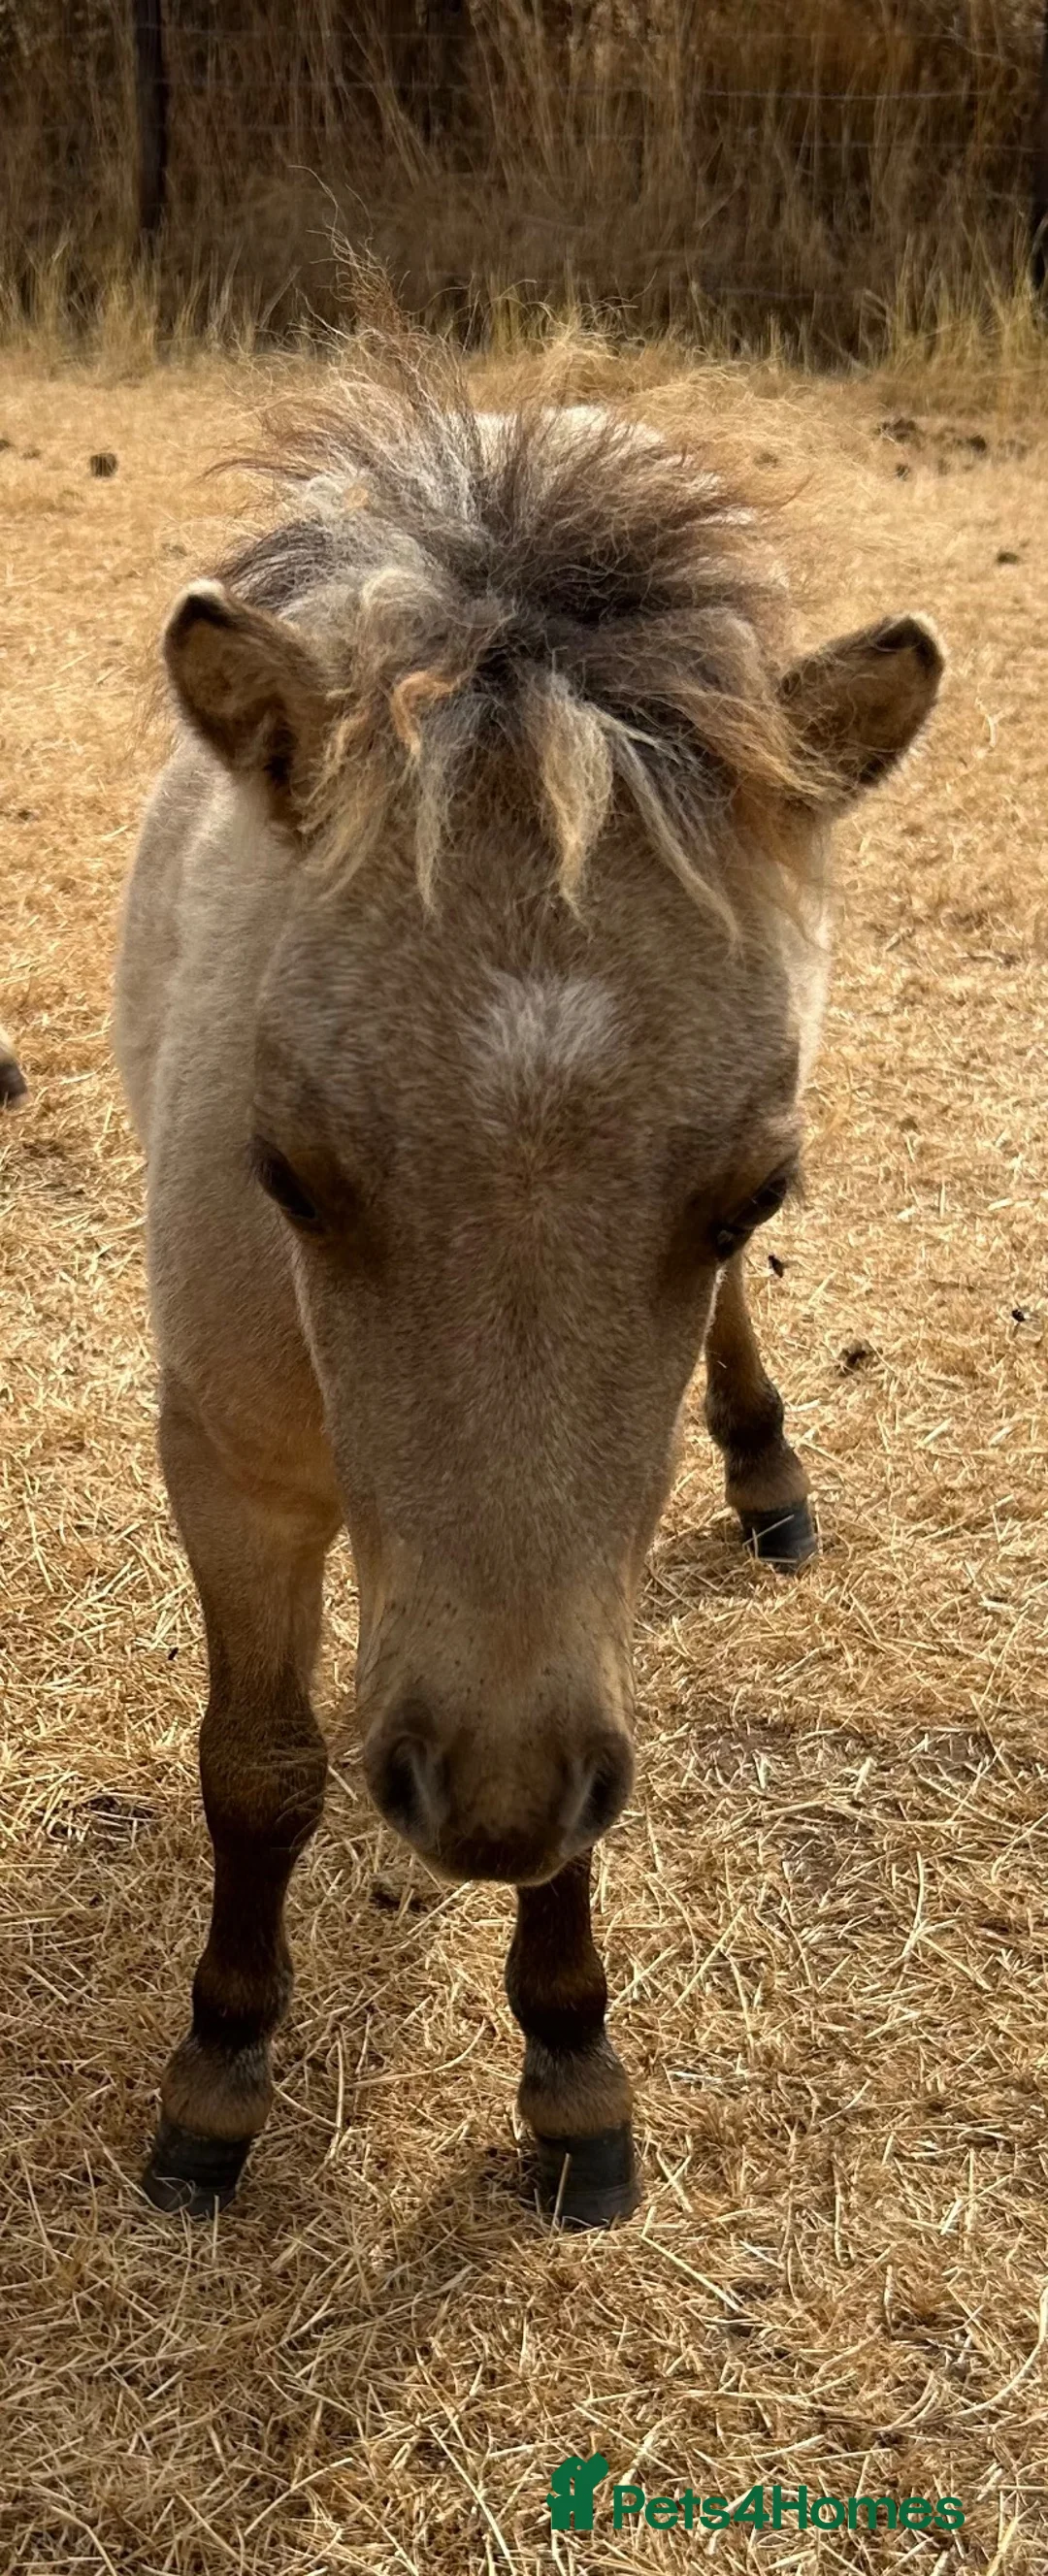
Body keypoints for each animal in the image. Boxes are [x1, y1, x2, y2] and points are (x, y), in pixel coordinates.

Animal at [114, 333, 942, 2227]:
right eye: (288, 1170)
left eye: (754, 1187)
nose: (477, 1809)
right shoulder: (228, 1466)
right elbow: (257, 1767)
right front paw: (218, 2070)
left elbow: (584, 1733)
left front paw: (574, 2063)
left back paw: (768, 1466)